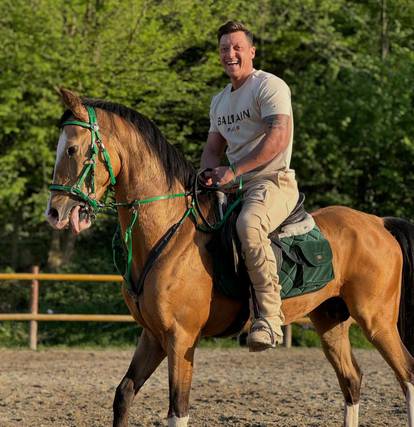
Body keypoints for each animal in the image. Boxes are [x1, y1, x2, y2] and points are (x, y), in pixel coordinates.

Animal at [45, 88, 414, 427]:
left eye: (73, 149)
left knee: (407, 375)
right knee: (352, 381)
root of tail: (378, 223)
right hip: (330, 321)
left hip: (376, 320)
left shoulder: (181, 338)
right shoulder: (153, 336)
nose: (54, 212)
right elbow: (124, 394)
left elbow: (177, 411)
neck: (169, 231)